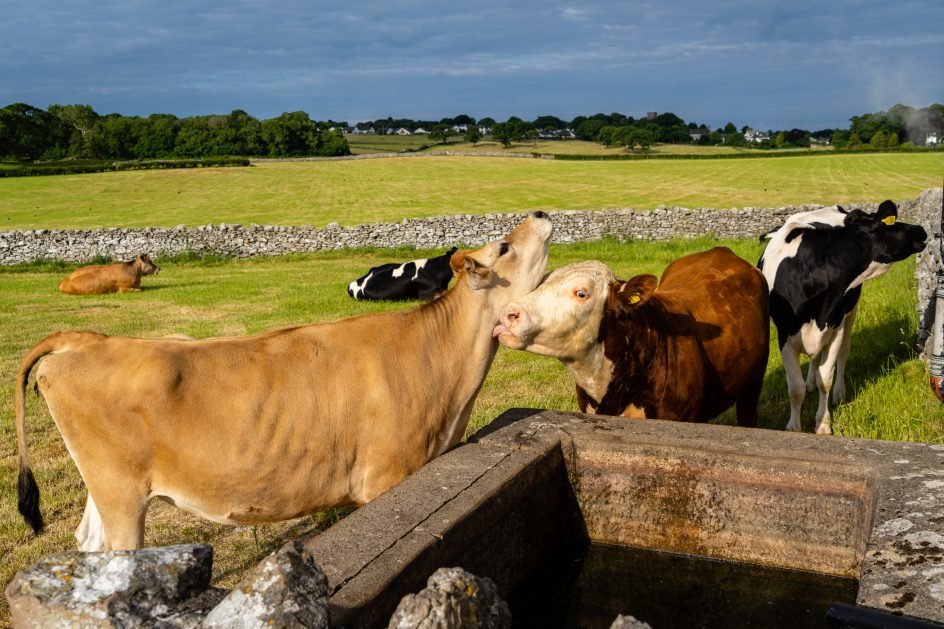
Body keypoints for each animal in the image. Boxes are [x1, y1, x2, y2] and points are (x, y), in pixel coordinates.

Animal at [758, 200, 927, 435]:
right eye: (889, 224)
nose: (920, 229)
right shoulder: (785, 335)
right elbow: (795, 388)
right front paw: (794, 427)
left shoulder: (834, 325)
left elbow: (825, 379)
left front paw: (823, 424)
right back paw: (810, 382)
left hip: (851, 312)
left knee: (844, 352)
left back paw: (839, 393)